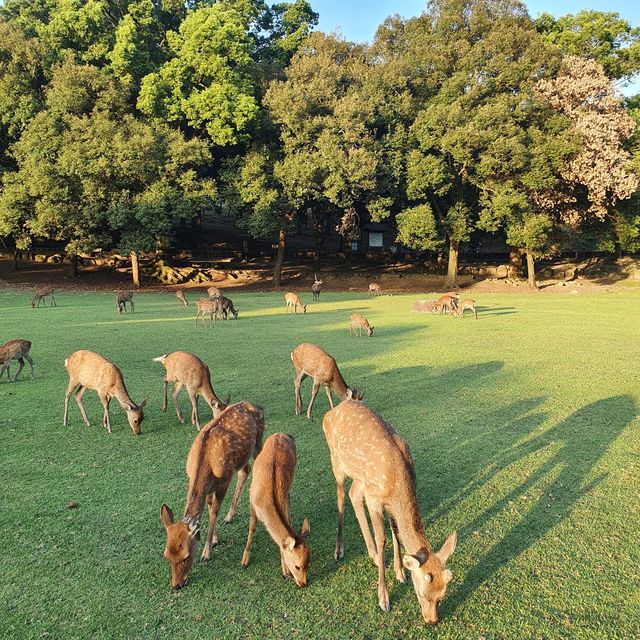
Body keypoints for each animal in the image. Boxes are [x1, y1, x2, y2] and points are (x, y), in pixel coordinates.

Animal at [160, 402, 264, 588]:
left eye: (186, 556)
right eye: (166, 555)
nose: (176, 584)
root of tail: (255, 405)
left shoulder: (224, 480)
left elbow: (214, 511)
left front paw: (206, 552)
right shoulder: (209, 489)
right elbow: (208, 509)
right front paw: (215, 539)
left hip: (258, 441)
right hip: (242, 457)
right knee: (245, 470)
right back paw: (230, 515)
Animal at [240, 432, 310, 588]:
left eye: (309, 564)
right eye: (297, 566)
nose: (303, 583)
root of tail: (282, 434)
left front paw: (284, 571)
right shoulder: (251, 500)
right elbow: (252, 527)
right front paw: (244, 561)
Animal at [324, 400, 456, 624]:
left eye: (442, 595)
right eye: (422, 593)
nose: (432, 620)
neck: (398, 486)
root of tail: (331, 412)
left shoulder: (387, 502)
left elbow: (396, 532)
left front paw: (400, 572)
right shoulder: (375, 500)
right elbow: (383, 538)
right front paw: (383, 598)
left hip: (362, 479)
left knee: (353, 494)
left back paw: (373, 555)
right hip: (337, 463)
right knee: (341, 496)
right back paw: (340, 549)